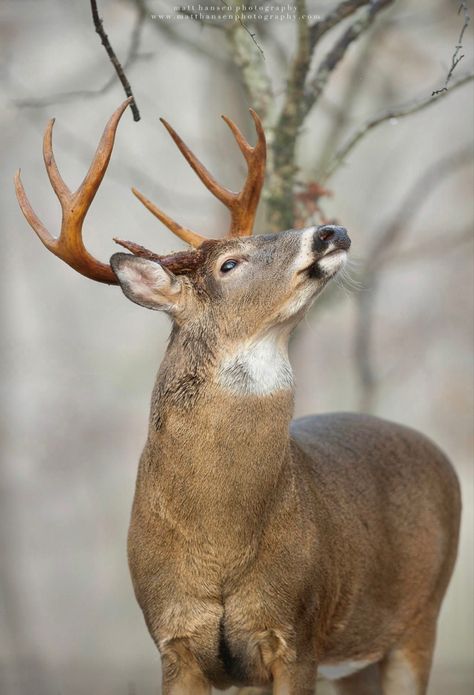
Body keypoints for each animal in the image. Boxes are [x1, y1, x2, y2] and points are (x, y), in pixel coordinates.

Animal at [16, 99, 462, 695]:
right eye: (229, 264)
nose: (332, 231)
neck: (218, 541)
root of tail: (442, 458)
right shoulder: (175, 640)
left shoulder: (297, 633)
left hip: (420, 619)